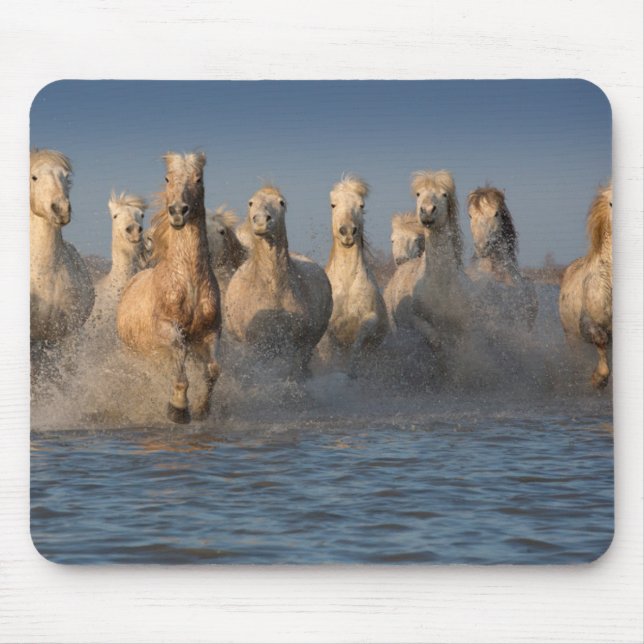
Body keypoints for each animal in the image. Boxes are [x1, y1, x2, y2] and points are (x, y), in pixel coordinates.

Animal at [117, 152, 221, 423]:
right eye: (167, 178)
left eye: (198, 178)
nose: (177, 212)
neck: (188, 282)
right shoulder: (168, 329)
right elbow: (179, 362)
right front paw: (177, 409)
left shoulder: (210, 333)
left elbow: (213, 370)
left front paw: (202, 409)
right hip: (137, 355)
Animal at [224, 185, 333, 377]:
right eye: (250, 203)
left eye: (281, 202)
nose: (261, 221)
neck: (274, 290)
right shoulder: (259, 347)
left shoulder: (299, 346)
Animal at [322, 175, 388, 377]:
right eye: (333, 205)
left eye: (361, 205)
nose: (348, 232)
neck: (347, 282)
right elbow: (330, 353)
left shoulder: (369, 321)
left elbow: (357, 346)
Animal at [383, 170, 470, 370]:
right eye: (418, 194)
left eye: (444, 194)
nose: (427, 211)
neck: (440, 283)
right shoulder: (418, 321)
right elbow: (436, 343)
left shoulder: (461, 326)